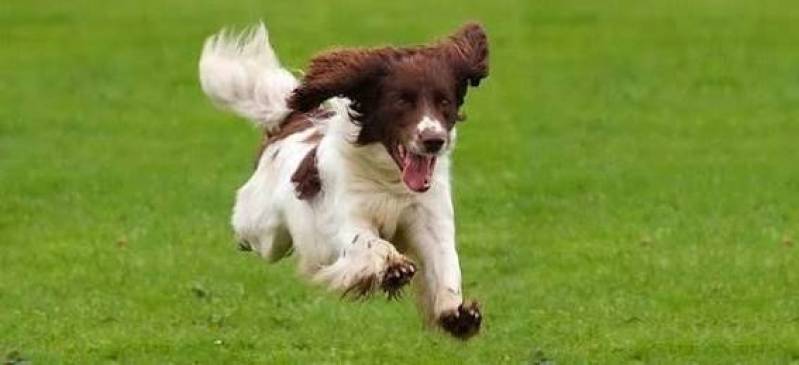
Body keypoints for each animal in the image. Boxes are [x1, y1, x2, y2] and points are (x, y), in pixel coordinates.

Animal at [198, 21, 488, 336]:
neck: (390, 182)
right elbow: (369, 241)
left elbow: (446, 263)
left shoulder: (432, 219)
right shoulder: (347, 218)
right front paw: (394, 269)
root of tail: (290, 121)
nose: (434, 140)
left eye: (444, 101)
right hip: (265, 230)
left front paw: (457, 314)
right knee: (249, 231)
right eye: (402, 101)